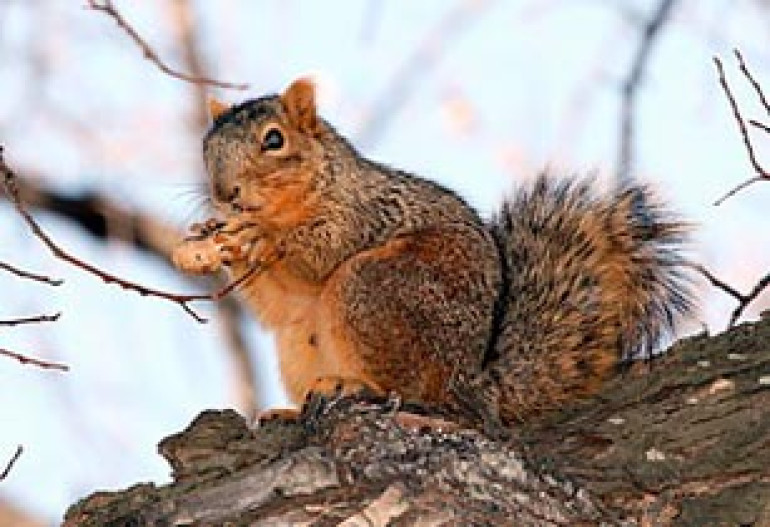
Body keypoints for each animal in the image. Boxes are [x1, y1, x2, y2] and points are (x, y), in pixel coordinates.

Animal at [172, 78, 694, 431]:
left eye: (274, 139)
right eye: (206, 147)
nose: (224, 194)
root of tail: (472, 384)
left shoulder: (366, 214)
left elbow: (321, 253)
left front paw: (257, 237)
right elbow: (279, 304)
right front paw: (213, 243)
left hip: (372, 288)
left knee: (411, 392)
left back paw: (355, 386)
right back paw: (289, 410)